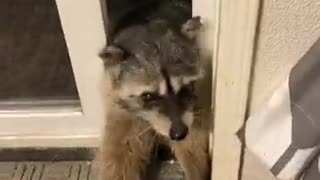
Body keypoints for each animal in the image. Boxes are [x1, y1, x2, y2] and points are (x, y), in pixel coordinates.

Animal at [99, 0, 211, 180]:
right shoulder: (115, 98)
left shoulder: (192, 106)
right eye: (148, 96)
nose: (179, 134)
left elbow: (193, 141)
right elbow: (120, 147)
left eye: (184, 87)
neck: (148, 20)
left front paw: (197, 172)